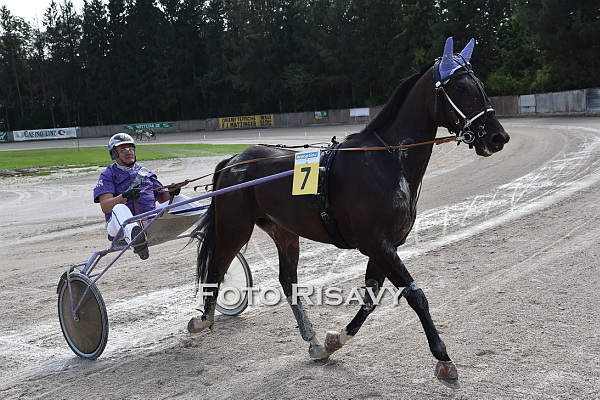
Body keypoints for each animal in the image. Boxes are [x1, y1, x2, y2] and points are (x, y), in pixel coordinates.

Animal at [188, 37, 510, 389]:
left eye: (481, 87)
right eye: (462, 88)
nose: (498, 136)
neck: (387, 158)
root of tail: (233, 160)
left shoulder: (385, 246)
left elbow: (370, 298)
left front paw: (333, 342)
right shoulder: (376, 242)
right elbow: (415, 295)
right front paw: (444, 360)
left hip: (283, 230)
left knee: (287, 280)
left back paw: (311, 338)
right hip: (234, 226)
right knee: (217, 266)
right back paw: (203, 320)